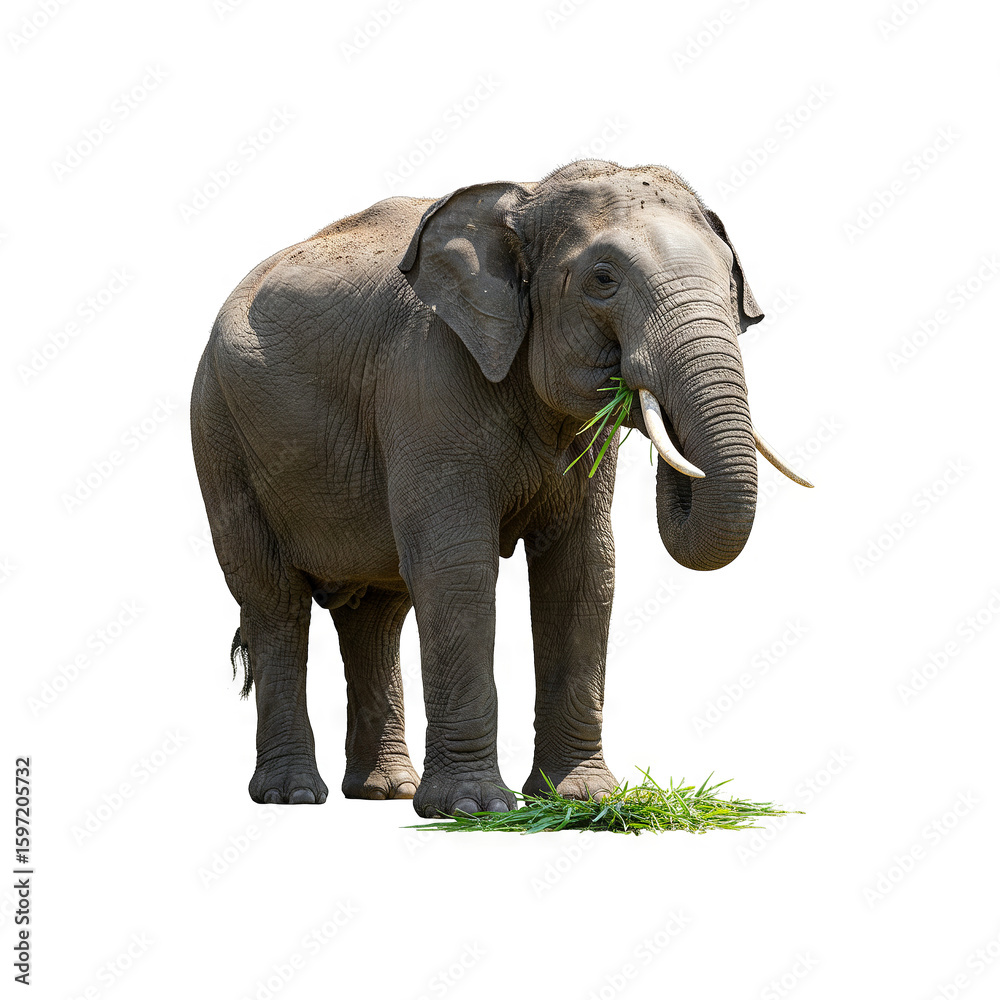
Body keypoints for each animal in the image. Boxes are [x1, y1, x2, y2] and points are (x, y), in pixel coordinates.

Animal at [190, 159, 810, 817]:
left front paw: (581, 802)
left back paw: (384, 791)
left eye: (731, 280)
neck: (525, 198)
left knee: (375, 614)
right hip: (219, 434)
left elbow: (583, 568)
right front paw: (472, 810)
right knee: (275, 602)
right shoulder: (424, 375)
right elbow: (457, 567)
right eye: (603, 280)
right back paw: (294, 796)